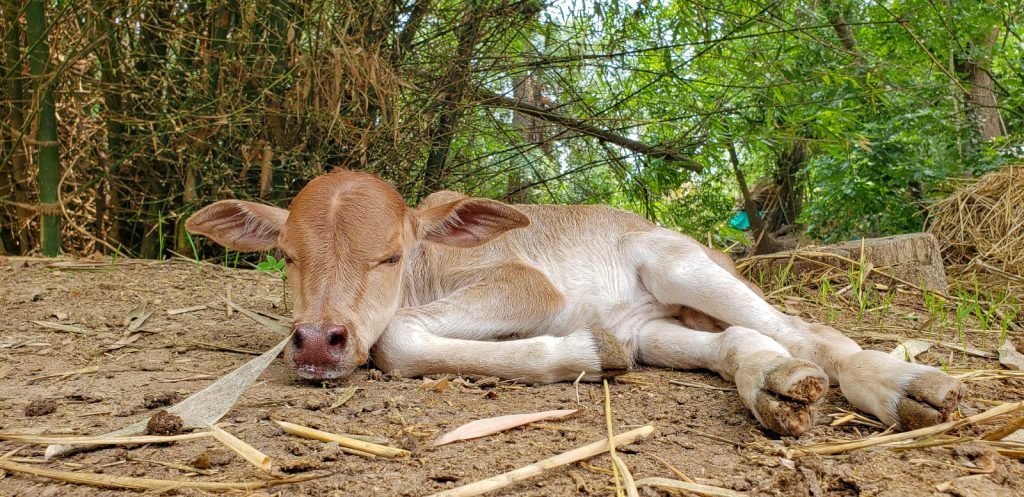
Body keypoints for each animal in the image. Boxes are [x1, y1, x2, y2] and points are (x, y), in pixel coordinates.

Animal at [186, 169, 963, 436]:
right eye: (288, 256)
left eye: (390, 256)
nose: (317, 340)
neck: (434, 267)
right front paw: (591, 348)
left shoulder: (530, 285)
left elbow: (394, 339)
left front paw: (579, 348)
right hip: (660, 327)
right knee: (736, 344)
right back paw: (773, 384)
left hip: (679, 263)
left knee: (808, 329)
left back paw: (904, 385)